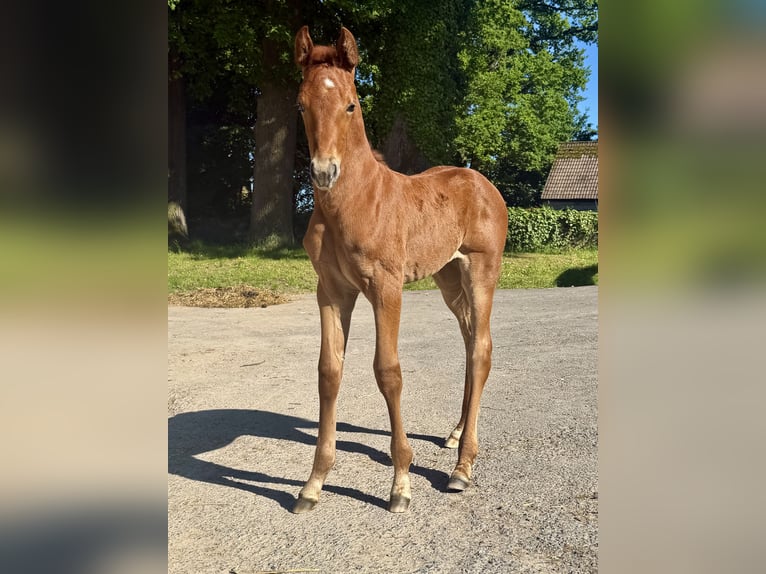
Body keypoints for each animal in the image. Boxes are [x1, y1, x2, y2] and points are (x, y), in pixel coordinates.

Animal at [292, 26, 508, 513]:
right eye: (300, 104)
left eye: (351, 104)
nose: (324, 172)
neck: (355, 203)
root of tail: (483, 182)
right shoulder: (331, 291)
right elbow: (328, 372)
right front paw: (313, 483)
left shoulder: (385, 288)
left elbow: (388, 372)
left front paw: (401, 482)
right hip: (448, 277)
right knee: (469, 342)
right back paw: (455, 434)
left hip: (481, 271)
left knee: (482, 348)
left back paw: (462, 468)